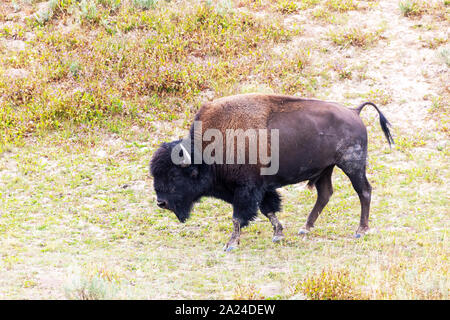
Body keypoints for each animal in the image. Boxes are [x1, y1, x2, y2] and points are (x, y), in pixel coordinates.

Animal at [149, 94, 392, 251]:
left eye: (173, 176)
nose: (161, 202)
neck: (207, 150)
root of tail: (354, 111)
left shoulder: (246, 190)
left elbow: (238, 217)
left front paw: (230, 244)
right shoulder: (261, 189)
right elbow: (268, 210)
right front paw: (278, 234)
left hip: (352, 165)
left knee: (364, 191)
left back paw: (361, 230)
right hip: (326, 169)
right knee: (325, 194)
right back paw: (305, 228)